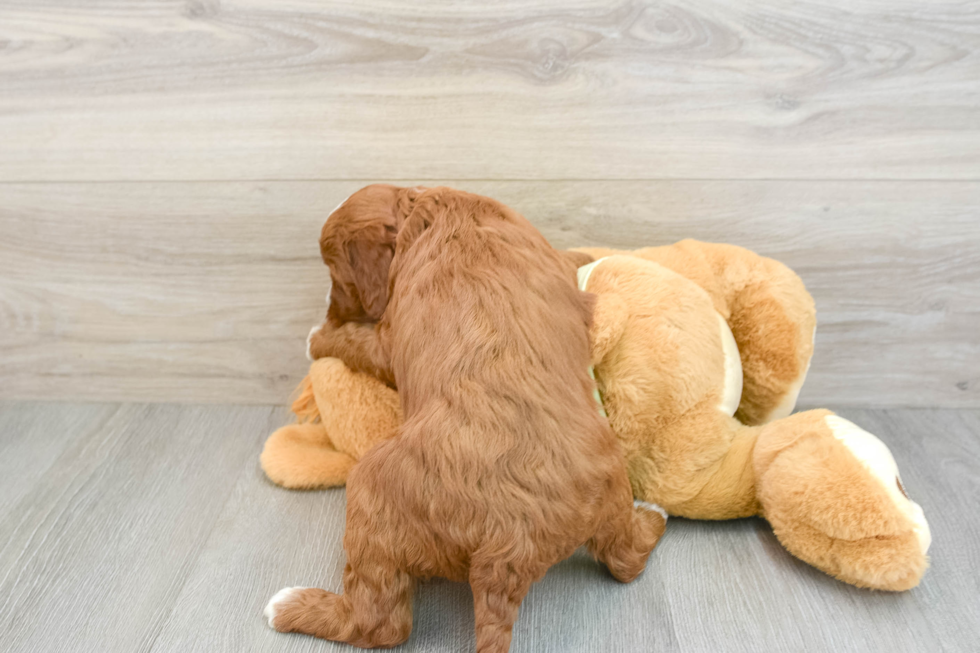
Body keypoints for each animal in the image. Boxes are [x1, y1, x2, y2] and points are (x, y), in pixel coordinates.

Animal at [268, 185, 668, 652]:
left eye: (335, 271)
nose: (331, 310)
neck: (430, 207)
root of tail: (509, 550)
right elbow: (570, 259)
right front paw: (584, 257)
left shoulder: (387, 340)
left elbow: (357, 342)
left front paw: (318, 336)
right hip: (610, 489)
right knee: (627, 560)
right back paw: (654, 513)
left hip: (370, 490)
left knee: (381, 624)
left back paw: (287, 605)